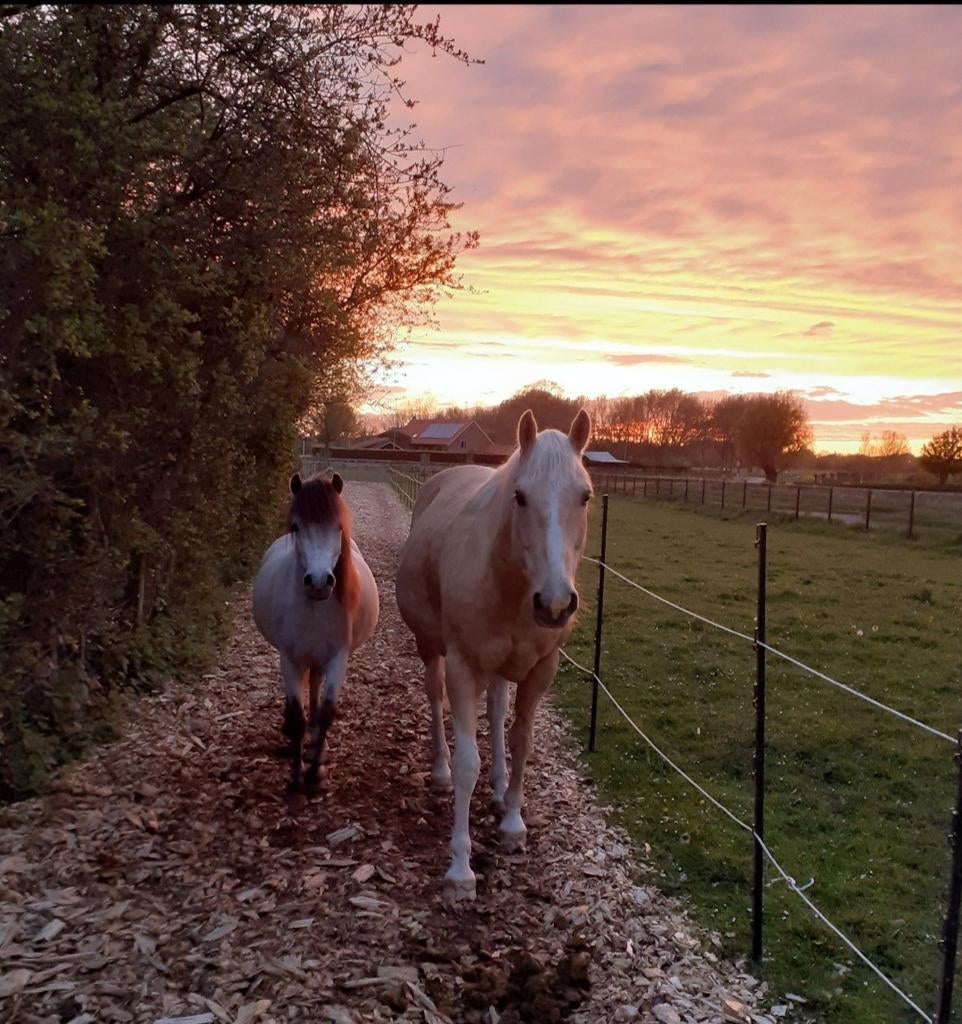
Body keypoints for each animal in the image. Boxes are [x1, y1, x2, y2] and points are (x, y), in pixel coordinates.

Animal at [253, 471, 379, 797]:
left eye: (338, 527)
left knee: (315, 687)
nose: (320, 582)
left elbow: (326, 713)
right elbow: (298, 717)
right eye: (296, 527)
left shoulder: (337, 658)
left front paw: (314, 774)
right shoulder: (290, 659)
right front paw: (296, 780)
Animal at [395, 409, 592, 897]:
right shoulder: (463, 667)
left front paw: (513, 824)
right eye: (520, 496)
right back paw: (440, 772)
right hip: (431, 649)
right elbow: (469, 761)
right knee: (435, 699)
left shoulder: (541, 670)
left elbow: (521, 742)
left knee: (498, 708)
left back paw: (501, 790)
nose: (555, 604)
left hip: (504, 668)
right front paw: (460, 870)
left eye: (584, 497)